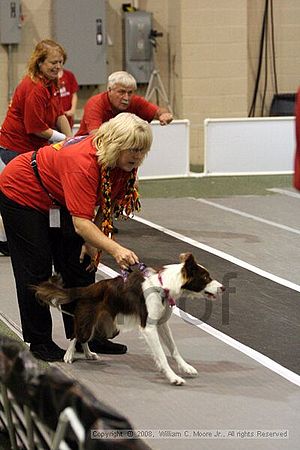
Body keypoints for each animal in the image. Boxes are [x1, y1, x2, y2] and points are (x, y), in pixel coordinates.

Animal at [34, 253, 224, 384]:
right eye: (206, 278)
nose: (222, 288)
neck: (163, 286)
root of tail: (88, 288)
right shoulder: (149, 328)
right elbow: (162, 355)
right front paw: (172, 377)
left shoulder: (162, 324)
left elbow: (173, 348)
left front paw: (185, 367)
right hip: (88, 321)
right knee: (76, 335)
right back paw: (68, 355)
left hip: (104, 324)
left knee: (84, 338)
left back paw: (88, 354)